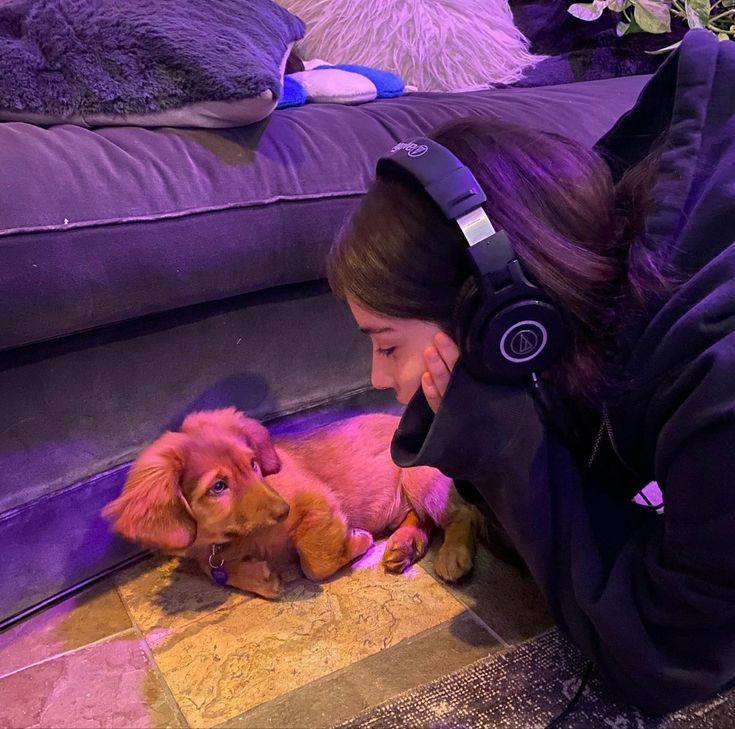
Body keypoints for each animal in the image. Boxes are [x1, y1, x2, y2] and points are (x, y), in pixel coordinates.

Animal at [103, 406, 484, 596]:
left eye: (253, 464)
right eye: (218, 487)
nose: (283, 511)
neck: (235, 538)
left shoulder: (317, 502)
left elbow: (314, 562)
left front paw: (356, 543)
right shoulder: (203, 554)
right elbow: (212, 570)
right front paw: (256, 577)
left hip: (418, 478)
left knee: (461, 514)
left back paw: (452, 554)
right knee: (423, 520)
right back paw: (404, 545)